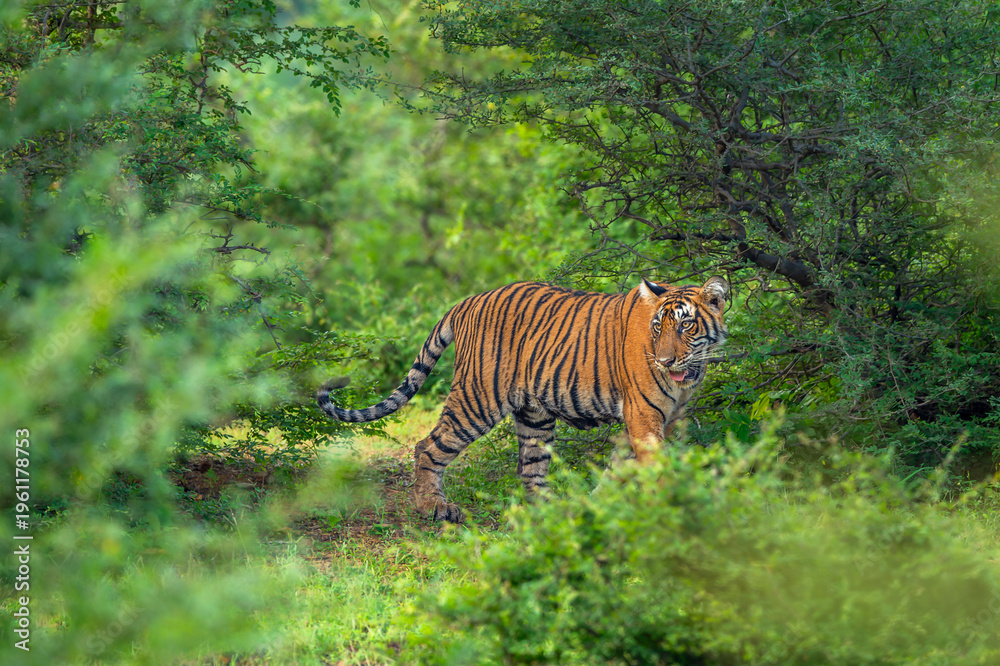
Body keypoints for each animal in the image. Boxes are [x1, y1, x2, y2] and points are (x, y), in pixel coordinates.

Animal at [318, 276, 729, 523]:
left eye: (686, 325)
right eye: (658, 327)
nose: (665, 361)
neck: (689, 374)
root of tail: (468, 301)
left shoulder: (667, 419)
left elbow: (621, 469)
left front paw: (599, 504)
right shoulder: (643, 415)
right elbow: (655, 467)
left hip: (534, 415)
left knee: (530, 469)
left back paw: (550, 511)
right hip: (477, 399)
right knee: (427, 446)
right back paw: (434, 507)